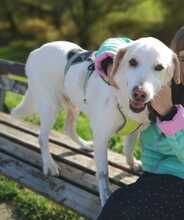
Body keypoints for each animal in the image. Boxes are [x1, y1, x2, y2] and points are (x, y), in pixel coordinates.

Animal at [11, 37, 181, 205]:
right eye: (132, 62)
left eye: (159, 67)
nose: (139, 93)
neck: (122, 99)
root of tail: (36, 51)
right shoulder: (101, 137)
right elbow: (103, 172)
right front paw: (105, 196)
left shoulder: (135, 129)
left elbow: (128, 149)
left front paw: (132, 164)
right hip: (50, 106)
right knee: (42, 137)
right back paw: (49, 164)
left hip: (73, 104)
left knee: (68, 128)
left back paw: (84, 145)